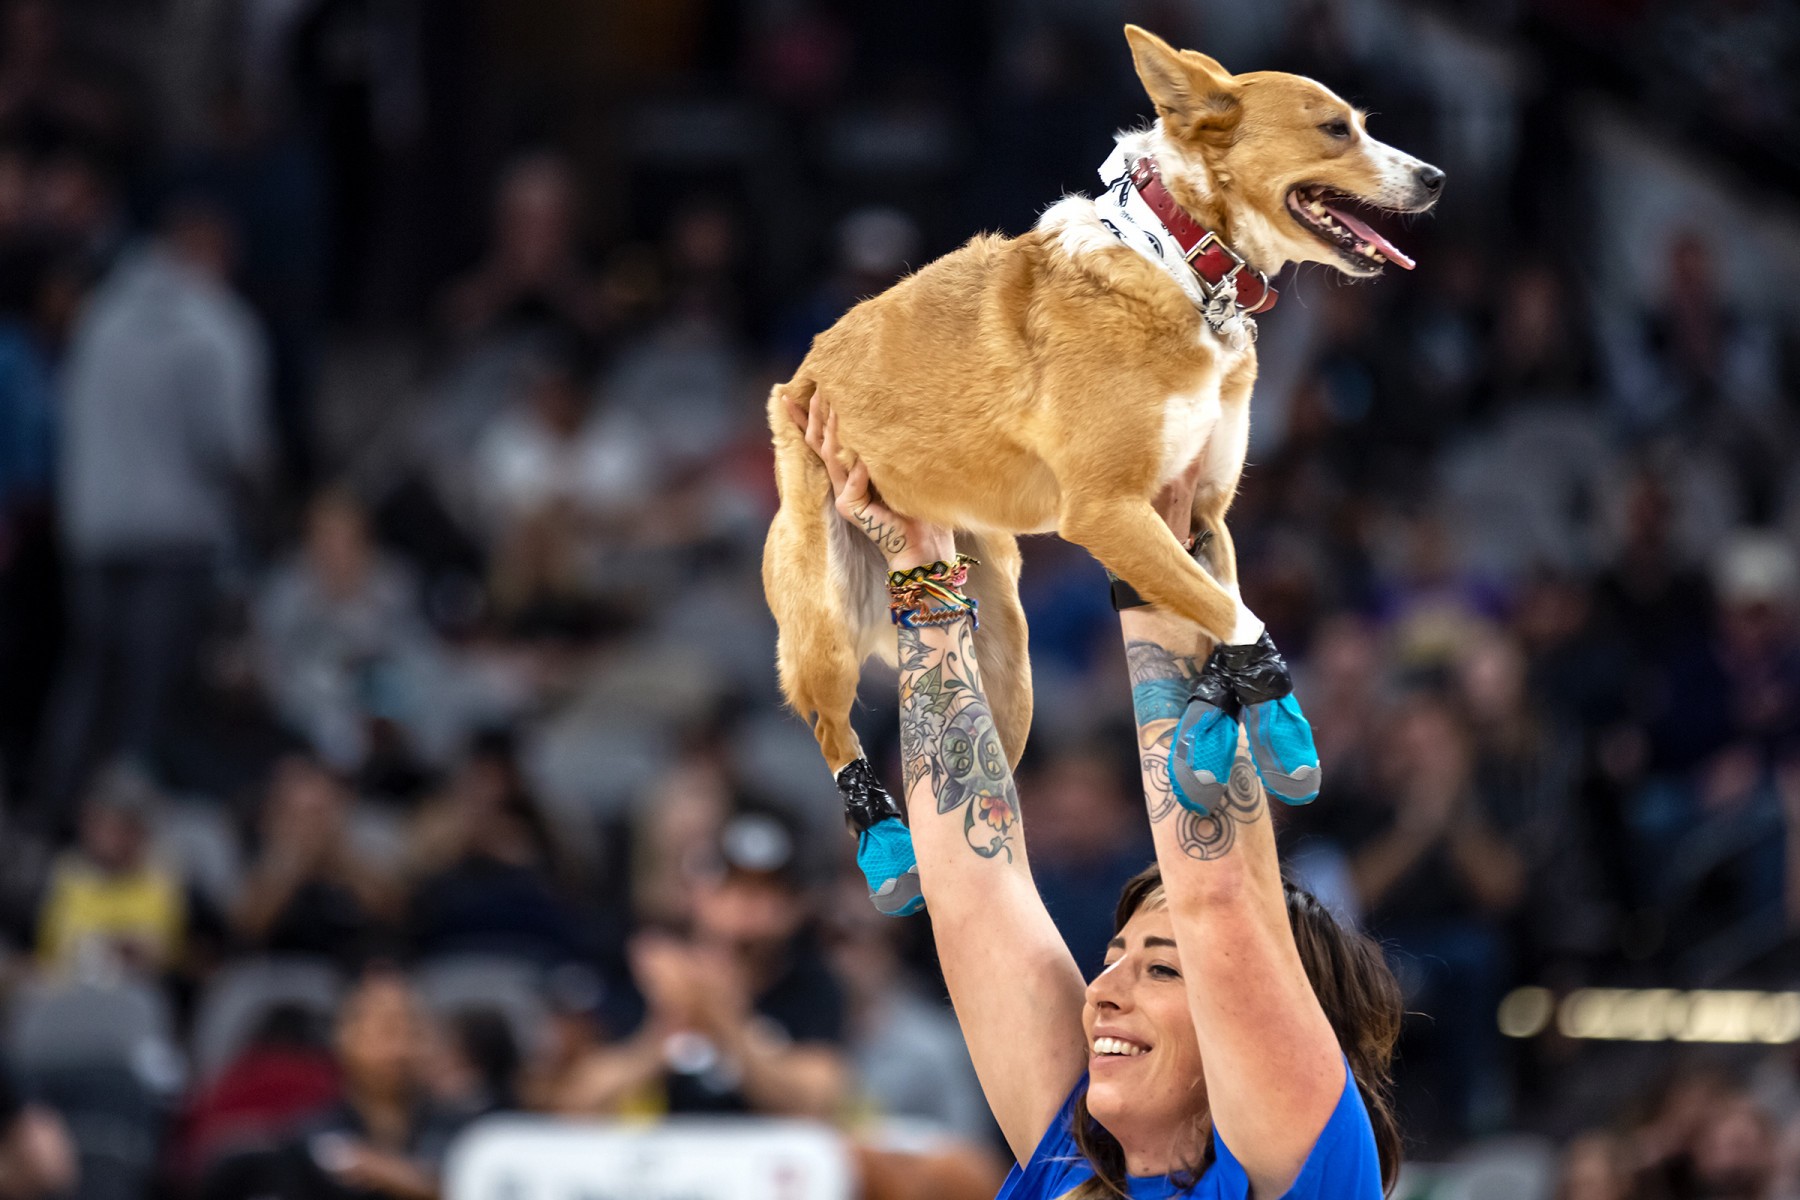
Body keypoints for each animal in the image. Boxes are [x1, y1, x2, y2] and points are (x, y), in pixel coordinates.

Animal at [764, 25, 1442, 846]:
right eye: (1335, 129)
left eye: (1363, 124)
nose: (1437, 178)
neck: (1182, 261)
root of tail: (797, 377)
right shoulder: (1105, 511)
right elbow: (1235, 611)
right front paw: (1265, 699)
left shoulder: (1202, 512)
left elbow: (1218, 605)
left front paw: (1225, 721)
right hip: (824, 630)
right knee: (836, 737)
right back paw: (885, 846)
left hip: (1006, 652)